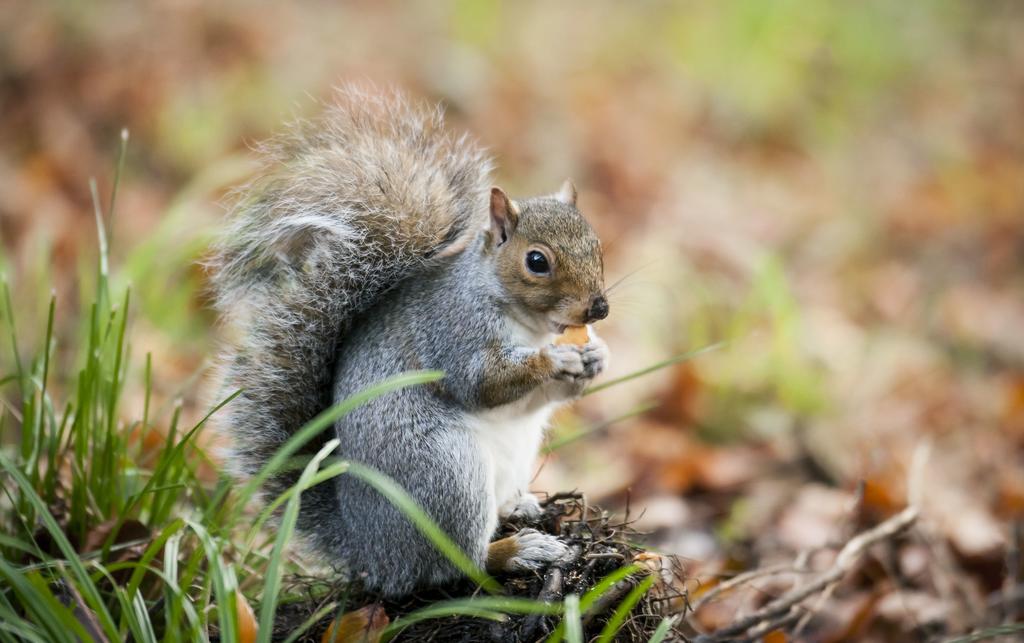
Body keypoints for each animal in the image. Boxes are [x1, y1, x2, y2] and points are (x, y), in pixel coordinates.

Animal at [207, 86, 606, 597]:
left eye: (597, 246)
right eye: (537, 261)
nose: (599, 308)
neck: (526, 322)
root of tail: (371, 554)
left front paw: (596, 355)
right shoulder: (453, 332)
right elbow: (482, 384)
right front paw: (553, 359)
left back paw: (518, 508)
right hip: (444, 475)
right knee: (455, 564)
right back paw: (517, 551)